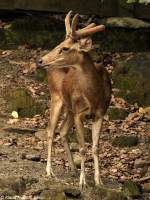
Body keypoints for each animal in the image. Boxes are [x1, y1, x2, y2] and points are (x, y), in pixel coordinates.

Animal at [37, 10, 110, 188]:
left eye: (65, 48)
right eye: (59, 44)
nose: (40, 60)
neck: (94, 95)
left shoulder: (100, 113)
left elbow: (96, 147)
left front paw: (98, 181)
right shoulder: (79, 113)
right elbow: (83, 147)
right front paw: (83, 182)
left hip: (69, 106)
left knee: (62, 130)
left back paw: (72, 168)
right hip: (56, 96)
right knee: (50, 131)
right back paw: (50, 171)